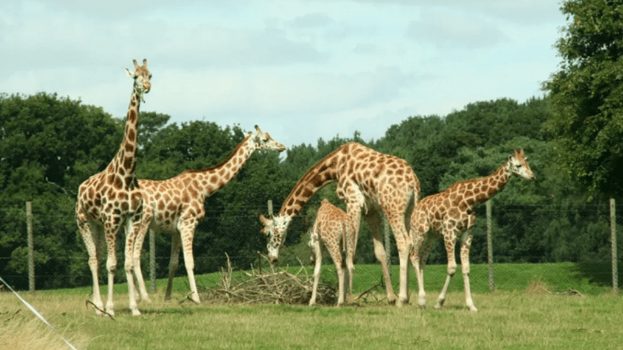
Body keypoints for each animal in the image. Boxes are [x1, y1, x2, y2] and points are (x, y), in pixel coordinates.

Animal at [75, 58, 152, 318]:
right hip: (84, 221)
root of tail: (79, 189)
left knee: (97, 257)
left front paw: (134, 308)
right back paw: (99, 307)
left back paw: (97, 305)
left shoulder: (132, 219)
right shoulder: (111, 219)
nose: (146, 87)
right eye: (135, 77)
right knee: (93, 260)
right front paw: (110, 308)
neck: (127, 174)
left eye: (150, 74)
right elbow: (112, 264)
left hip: (98, 225)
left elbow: (127, 264)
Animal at [132, 126, 288, 304]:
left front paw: (167, 297)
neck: (204, 189)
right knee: (135, 256)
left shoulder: (176, 229)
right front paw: (196, 298)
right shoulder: (188, 223)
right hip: (143, 222)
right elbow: (189, 262)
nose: (282, 147)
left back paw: (136, 296)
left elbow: (173, 263)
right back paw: (144, 297)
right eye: (265, 139)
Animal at [258, 142, 420, 306]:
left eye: (267, 233)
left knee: (403, 243)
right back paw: (408, 297)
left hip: (393, 208)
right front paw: (390, 297)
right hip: (409, 211)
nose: (272, 258)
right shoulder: (370, 209)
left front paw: (346, 298)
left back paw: (403, 298)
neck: (335, 166)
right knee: (414, 245)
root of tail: (413, 181)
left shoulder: (353, 200)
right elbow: (379, 252)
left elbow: (350, 250)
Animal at [410, 148, 536, 312]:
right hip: (419, 231)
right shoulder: (450, 231)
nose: (532, 176)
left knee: (422, 261)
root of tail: (414, 211)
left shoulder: (467, 233)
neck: (470, 200)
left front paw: (471, 305)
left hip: (431, 236)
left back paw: (422, 301)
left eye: (527, 163)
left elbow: (466, 268)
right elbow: (452, 267)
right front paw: (439, 302)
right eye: (518, 165)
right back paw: (422, 300)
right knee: (414, 257)